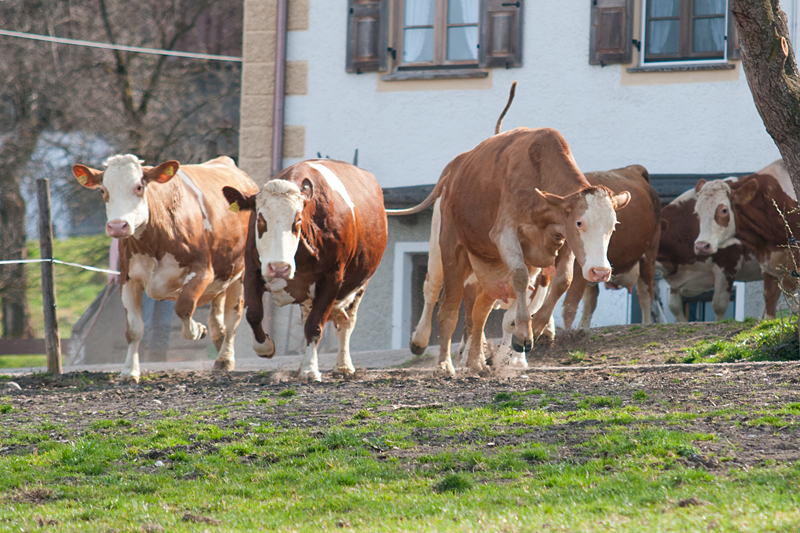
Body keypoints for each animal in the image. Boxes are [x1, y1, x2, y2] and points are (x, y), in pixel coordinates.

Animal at [72, 154, 258, 382]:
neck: (154, 242)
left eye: (139, 187)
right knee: (217, 319)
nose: (117, 226)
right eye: (103, 190)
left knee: (233, 317)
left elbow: (184, 308)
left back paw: (225, 358)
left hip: (240, 272)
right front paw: (129, 371)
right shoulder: (128, 279)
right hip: (223, 274)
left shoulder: (202, 271)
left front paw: (197, 330)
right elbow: (133, 329)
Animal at [222, 159, 388, 382]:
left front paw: (310, 369)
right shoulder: (252, 270)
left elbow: (315, 325)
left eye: (298, 220)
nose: (279, 268)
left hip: (359, 285)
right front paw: (265, 347)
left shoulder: (333, 278)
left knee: (346, 323)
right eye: (260, 219)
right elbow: (254, 313)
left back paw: (343, 365)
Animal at [390, 125, 628, 374]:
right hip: (447, 245)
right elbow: (520, 278)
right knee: (442, 300)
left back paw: (476, 361)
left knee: (479, 311)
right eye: (580, 223)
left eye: (613, 226)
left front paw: (537, 327)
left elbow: (563, 280)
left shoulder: (562, 239)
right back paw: (439, 357)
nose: (600, 271)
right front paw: (523, 335)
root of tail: (454, 169)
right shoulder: (506, 233)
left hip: (489, 266)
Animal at [560, 163, 660, 328]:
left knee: (646, 295)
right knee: (591, 299)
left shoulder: (578, 268)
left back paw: (646, 324)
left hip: (649, 253)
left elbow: (569, 306)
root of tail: (633, 169)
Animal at [692, 160, 796, 314]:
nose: (701, 246)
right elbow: (770, 299)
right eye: (696, 212)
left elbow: (790, 291)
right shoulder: (768, 264)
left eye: (724, 210)